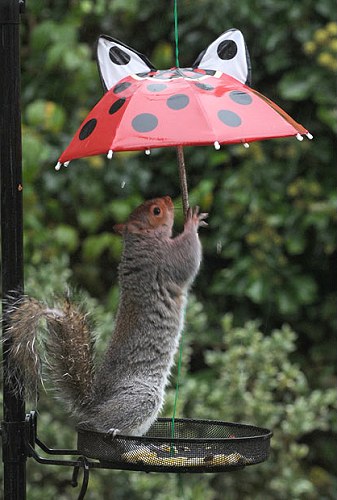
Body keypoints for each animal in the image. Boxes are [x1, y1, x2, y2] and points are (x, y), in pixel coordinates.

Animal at [3, 197, 206, 436]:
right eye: (156, 211)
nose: (167, 199)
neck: (142, 241)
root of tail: (95, 405)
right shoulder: (165, 261)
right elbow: (188, 259)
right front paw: (192, 222)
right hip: (141, 397)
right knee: (102, 422)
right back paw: (111, 429)